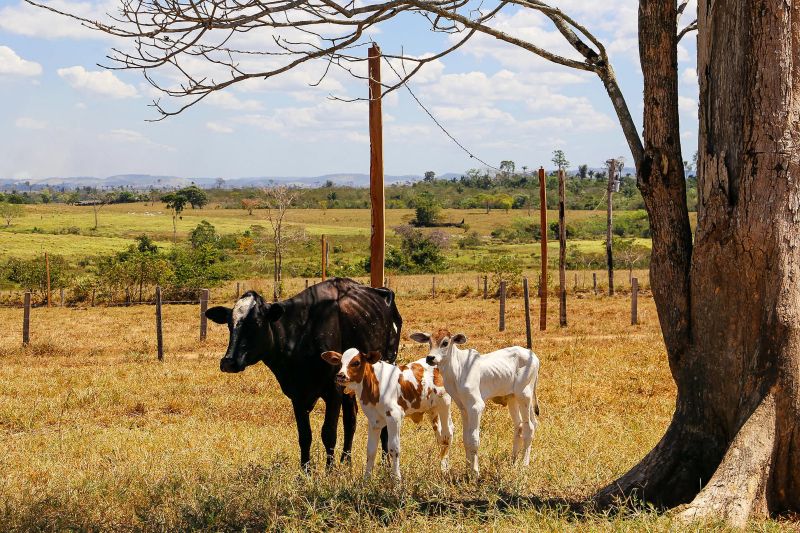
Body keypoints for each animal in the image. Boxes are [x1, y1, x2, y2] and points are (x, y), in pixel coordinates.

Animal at [203, 276, 404, 468]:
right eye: (229, 324)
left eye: (257, 323)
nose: (228, 362)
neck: (301, 334)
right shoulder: (297, 394)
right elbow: (305, 435)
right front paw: (305, 471)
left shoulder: (333, 390)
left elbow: (328, 433)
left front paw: (329, 472)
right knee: (350, 419)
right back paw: (346, 462)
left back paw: (385, 462)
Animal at [322, 348, 454, 480]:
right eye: (340, 363)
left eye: (356, 362)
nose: (341, 375)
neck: (374, 385)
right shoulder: (373, 421)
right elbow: (371, 450)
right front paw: (366, 480)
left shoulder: (394, 417)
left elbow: (393, 449)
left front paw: (396, 479)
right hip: (433, 410)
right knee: (440, 436)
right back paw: (443, 466)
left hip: (444, 404)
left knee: (447, 434)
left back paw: (445, 470)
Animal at [412, 328, 536, 474]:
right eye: (429, 342)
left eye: (445, 343)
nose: (430, 358)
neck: (457, 370)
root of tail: (533, 356)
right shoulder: (464, 408)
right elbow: (466, 439)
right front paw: (468, 469)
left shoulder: (476, 407)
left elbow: (473, 439)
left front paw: (475, 472)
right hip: (512, 397)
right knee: (519, 426)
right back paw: (513, 462)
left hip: (524, 396)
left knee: (529, 427)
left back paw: (524, 465)